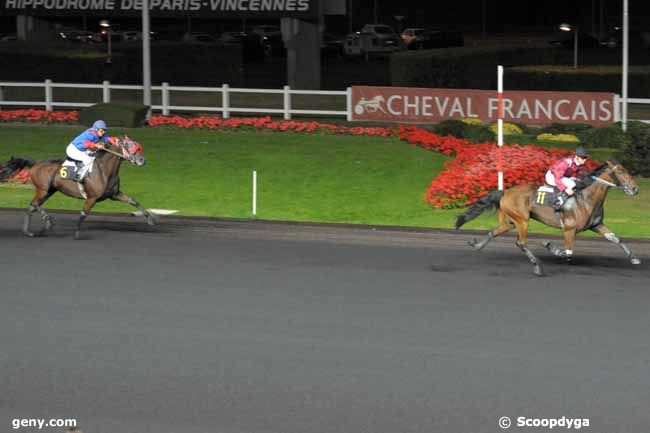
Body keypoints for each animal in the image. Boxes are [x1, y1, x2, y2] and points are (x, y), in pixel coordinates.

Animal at [0, 136, 156, 240]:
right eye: (129, 145)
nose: (142, 160)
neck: (104, 170)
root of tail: (36, 163)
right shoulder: (92, 198)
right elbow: (83, 213)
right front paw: (76, 233)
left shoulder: (115, 194)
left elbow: (133, 201)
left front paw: (151, 220)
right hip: (43, 189)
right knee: (34, 204)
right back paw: (47, 223)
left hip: (50, 190)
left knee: (32, 206)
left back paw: (30, 231)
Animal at [454, 160, 640, 276]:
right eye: (621, 171)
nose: (635, 189)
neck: (586, 198)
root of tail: (505, 191)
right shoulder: (569, 229)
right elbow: (568, 252)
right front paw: (549, 245)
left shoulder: (596, 225)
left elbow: (616, 239)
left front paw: (634, 258)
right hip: (522, 220)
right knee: (521, 243)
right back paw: (537, 267)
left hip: (511, 221)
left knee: (494, 232)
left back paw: (477, 245)